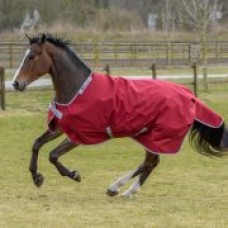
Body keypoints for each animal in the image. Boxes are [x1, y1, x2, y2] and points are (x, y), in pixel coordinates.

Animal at [12, 33, 228, 198]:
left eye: (32, 56)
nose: (16, 83)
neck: (77, 90)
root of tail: (189, 96)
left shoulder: (80, 135)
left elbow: (53, 155)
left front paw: (74, 175)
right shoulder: (60, 126)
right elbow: (36, 144)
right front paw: (37, 177)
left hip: (158, 136)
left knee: (149, 162)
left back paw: (117, 188)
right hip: (150, 135)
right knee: (151, 163)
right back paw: (124, 191)